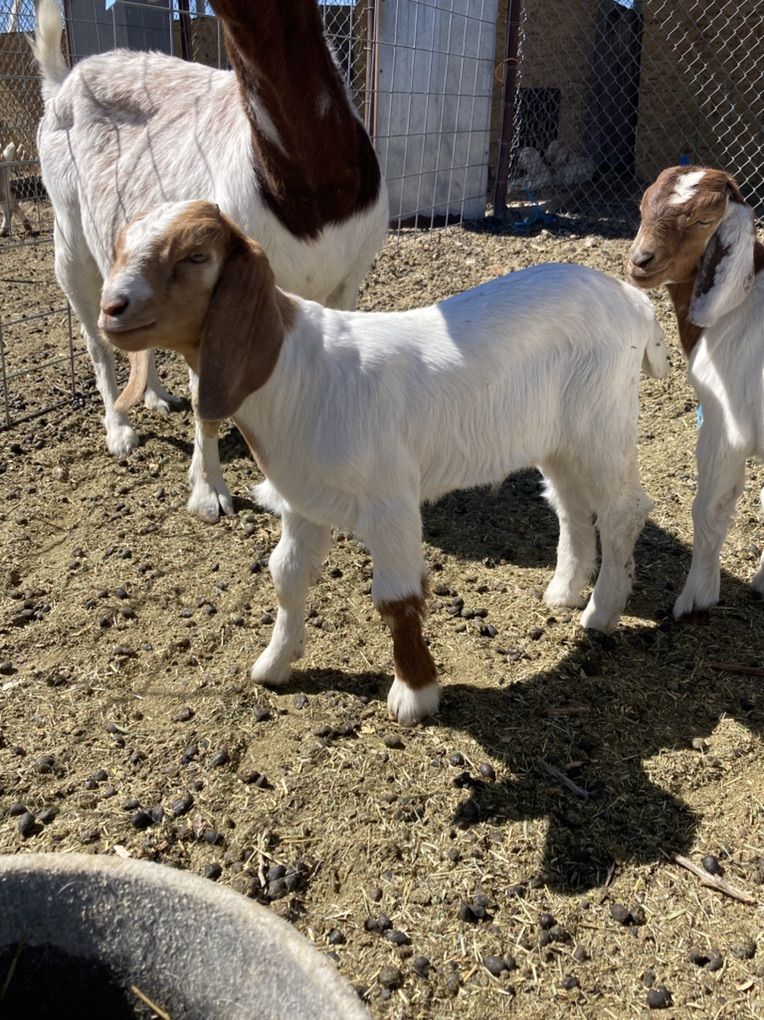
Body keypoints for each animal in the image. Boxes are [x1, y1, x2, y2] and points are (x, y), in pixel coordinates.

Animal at [32, 0, 388, 523]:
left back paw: (157, 396)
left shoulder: (347, 281)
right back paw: (118, 428)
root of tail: (63, 81)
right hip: (68, 231)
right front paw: (209, 493)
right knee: (95, 337)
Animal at [98, 200, 668, 725]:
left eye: (197, 255)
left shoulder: (390, 500)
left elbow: (396, 598)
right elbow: (286, 574)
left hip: (601, 419)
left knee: (623, 508)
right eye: (121, 246)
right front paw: (275, 662)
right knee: (572, 505)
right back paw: (565, 590)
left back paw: (600, 612)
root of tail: (634, 301)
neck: (298, 373)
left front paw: (414, 695)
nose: (111, 308)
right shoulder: (303, 500)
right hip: (556, 436)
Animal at [627, 166, 764, 619]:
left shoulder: (725, 427)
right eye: (643, 204)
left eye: (705, 220)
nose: (640, 261)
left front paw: (696, 598)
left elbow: (708, 510)